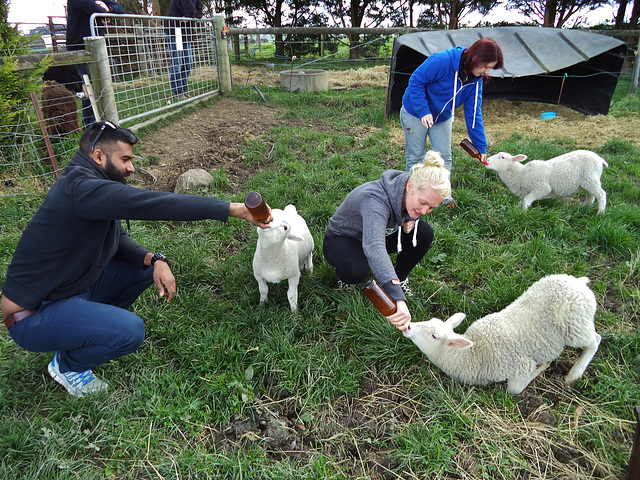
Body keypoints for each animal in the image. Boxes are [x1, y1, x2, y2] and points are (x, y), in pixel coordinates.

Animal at [402, 274, 604, 394]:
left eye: (434, 336)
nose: (408, 327)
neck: (473, 354)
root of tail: (578, 282)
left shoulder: (520, 364)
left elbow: (514, 389)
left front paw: (542, 367)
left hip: (575, 324)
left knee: (595, 340)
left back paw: (574, 374)